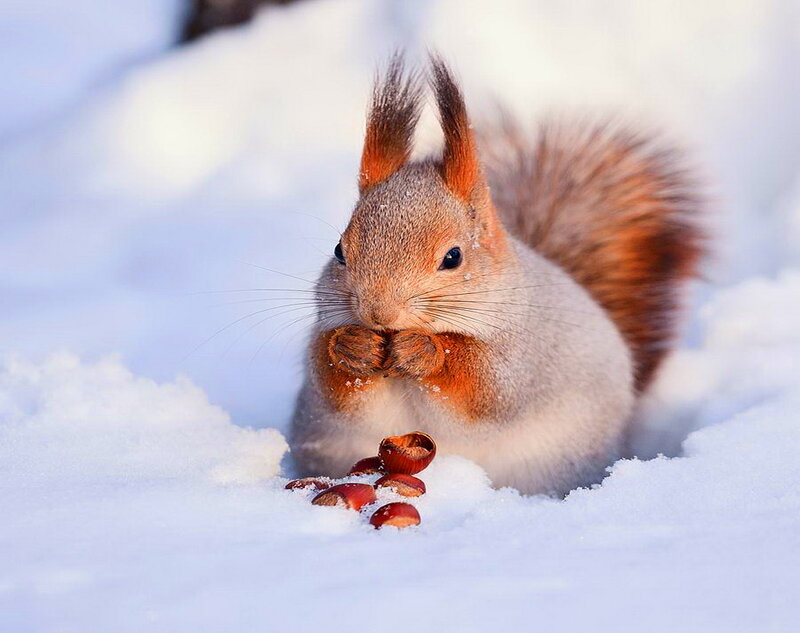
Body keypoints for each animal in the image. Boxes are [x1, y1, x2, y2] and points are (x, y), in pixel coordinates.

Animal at [288, 55, 704, 495]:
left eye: (453, 257)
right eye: (339, 251)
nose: (378, 314)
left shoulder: (524, 353)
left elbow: (485, 390)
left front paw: (426, 351)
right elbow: (330, 384)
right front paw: (352, 346)